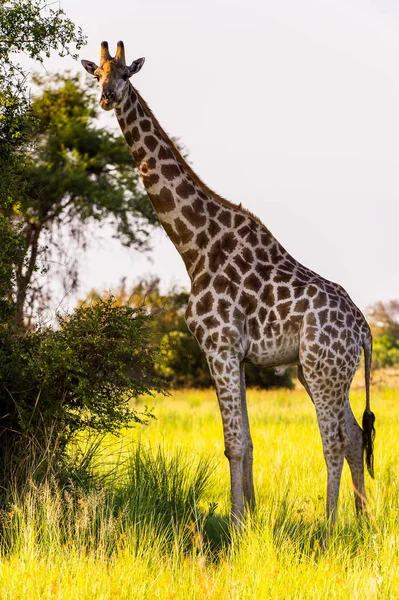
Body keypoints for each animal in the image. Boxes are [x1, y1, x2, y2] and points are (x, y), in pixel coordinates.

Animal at [83, 41, 376, 524]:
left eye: (126, 73)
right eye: (97, 74)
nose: (108, 98)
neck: (195, 246)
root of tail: (365, 330)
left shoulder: (217, 345)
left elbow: (233, 443)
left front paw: (238, 524)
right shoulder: (236, 354)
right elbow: (249, 442)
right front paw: (251, 518)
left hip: (321, 367)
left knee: (334, 439)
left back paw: (331, 525)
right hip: (322, 370)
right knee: (354, 435)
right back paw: (363, 521)